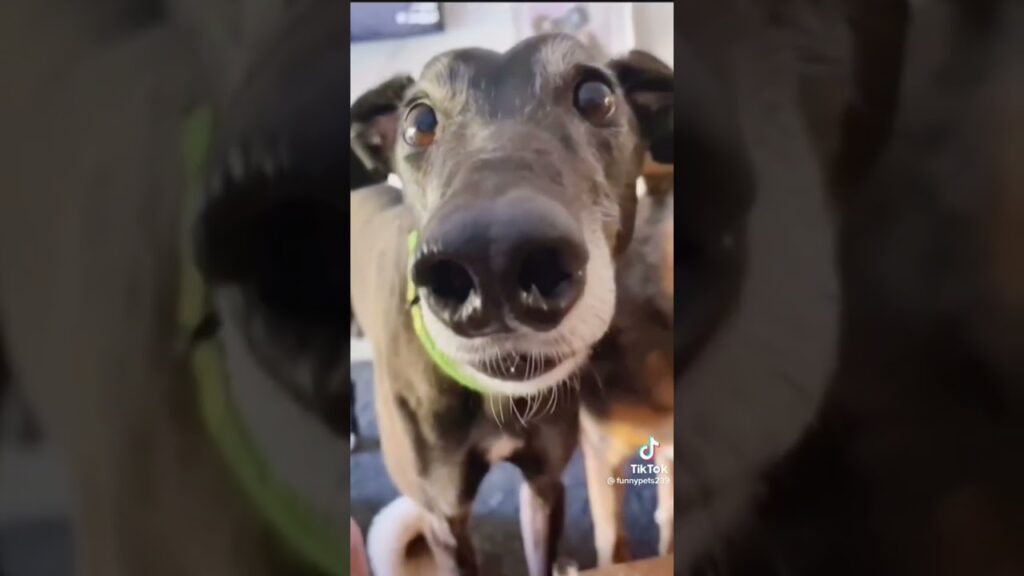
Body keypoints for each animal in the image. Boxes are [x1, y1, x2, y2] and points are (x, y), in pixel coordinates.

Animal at [348, 33, 675, 569]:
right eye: (418, 123)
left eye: (596, 97)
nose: (492, 259)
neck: (494, 399)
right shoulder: (443, 518)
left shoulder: (544, 483)